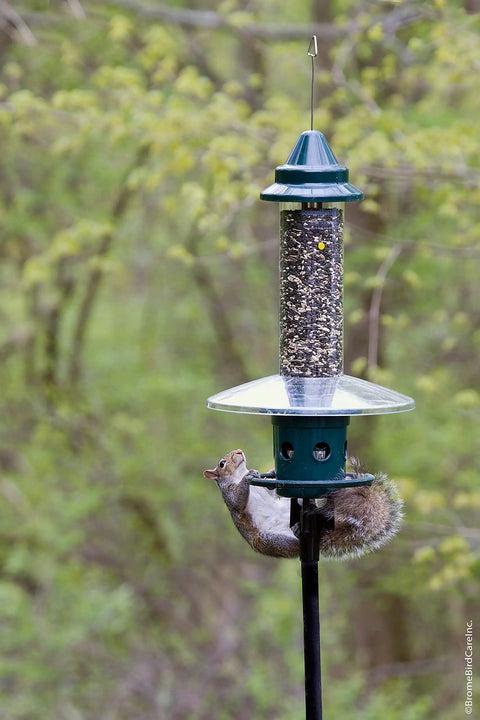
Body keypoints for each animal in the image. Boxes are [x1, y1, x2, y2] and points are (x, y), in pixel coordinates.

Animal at [204, 449, 403, 560]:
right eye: (222, 463)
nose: (238, 451)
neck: (236, 475)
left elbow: (270, 491)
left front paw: (270, 471)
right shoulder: (230, 496)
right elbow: (238, 501)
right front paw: (248, 476)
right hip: (272, 540)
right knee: (295, 545)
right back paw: (298, 534)